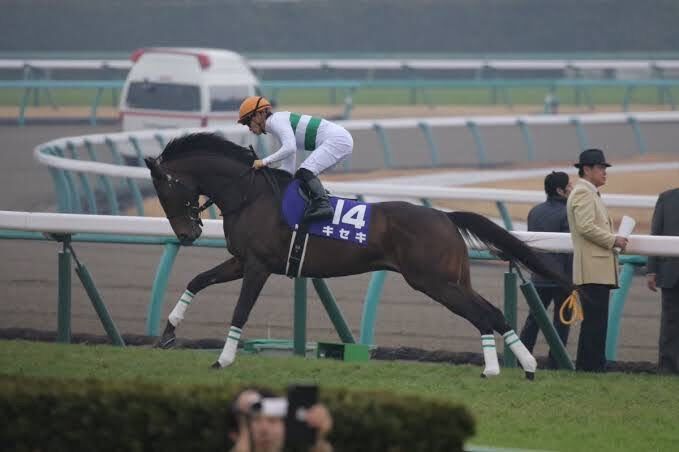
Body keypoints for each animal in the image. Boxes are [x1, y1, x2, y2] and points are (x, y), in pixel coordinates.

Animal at [144, 132, 576, 379]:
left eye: (165, 189)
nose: (186, 234)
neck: (249, 195)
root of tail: (444, 215)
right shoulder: (241, 261)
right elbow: (196, 280)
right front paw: (168, 332)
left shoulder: (258, 266)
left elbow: (240, 311)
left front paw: (224, 360)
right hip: (452, 279)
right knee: (491, 312)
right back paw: (519, 367)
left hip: (434, 281)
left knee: (483, 315)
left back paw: (504, 368)